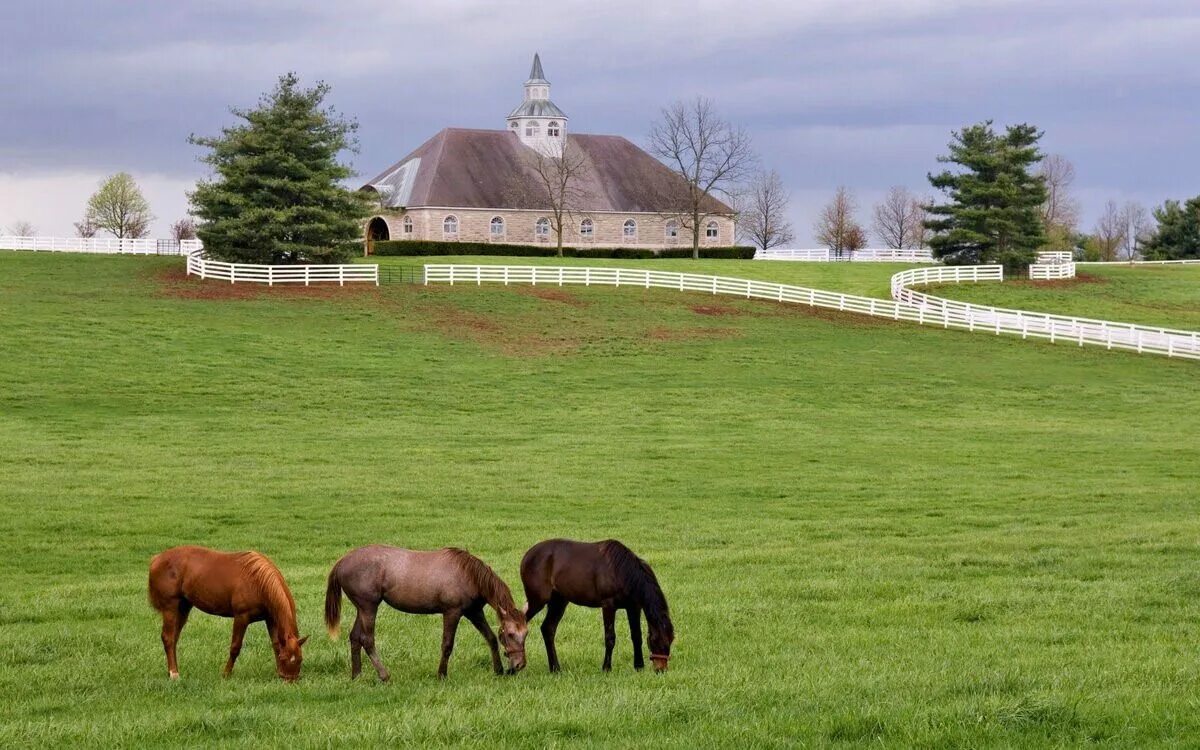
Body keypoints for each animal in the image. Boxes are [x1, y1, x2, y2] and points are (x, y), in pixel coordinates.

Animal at [147, 544, 307, 676]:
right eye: (285, 658)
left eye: (300, 659)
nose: (289, 679)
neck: (258, 582)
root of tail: (156, 559)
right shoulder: (241, 617)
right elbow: (235, 647)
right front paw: (226, 674)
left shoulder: (270, 619)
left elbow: (275, 644)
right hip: (170, 608)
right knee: (168, 638)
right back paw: (174, 674)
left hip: (183, 608)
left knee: (174, 638)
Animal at [324, 544, 525, 676]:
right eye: (510, 634)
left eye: (526, 634)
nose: (519, 665)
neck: (468, 575)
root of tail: (342, 562)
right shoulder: (452, 613)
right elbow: (447, 645)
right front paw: (441, 674)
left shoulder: (474, 613)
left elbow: (490, 638)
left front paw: (498, 670)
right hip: (369, 607)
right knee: (367, 640)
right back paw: (384, 675)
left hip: (362, 608)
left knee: (355, 638)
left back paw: (357, 675)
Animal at [518, 537, 676, 672]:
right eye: (655, 640)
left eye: (670, 640)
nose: (661, 670)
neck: (622, 571)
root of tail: (528, 555)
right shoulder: (608, 606)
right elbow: (610, 638)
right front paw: (606, 668)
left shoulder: (633, 607)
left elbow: (636, 636)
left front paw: (638, 666)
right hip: (537, 600)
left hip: (559, 601)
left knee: (548, 629)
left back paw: (555, 668)